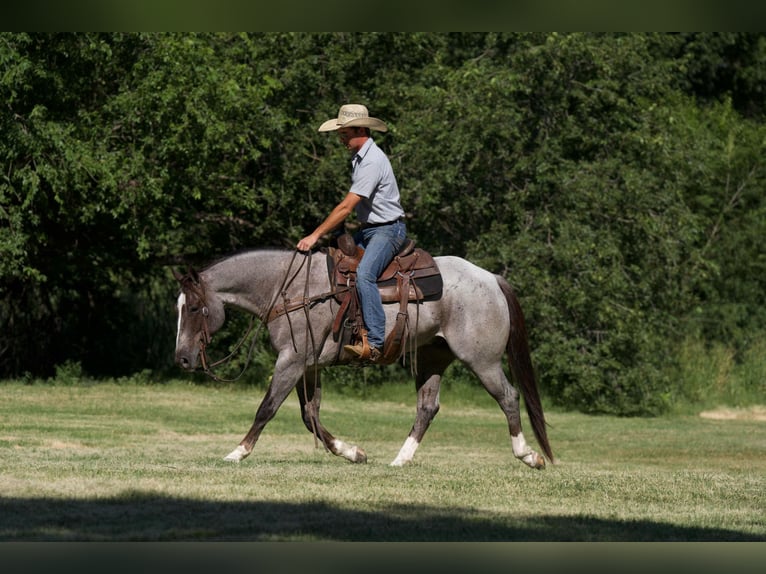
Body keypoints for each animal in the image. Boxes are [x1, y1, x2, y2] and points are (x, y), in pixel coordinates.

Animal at [174, 246, 556, 468]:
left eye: (192, 308)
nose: (182, 359)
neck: (289, 289)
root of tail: (491, 278)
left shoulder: (291, 361)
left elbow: (267, 408)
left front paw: (237, 452)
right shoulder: (307, 366)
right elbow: (310, 415)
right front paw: (352, 452)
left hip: (482, 360)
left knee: (508, 396)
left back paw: (529, 456)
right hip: (432, 358)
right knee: (427, 408)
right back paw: (400, 460)